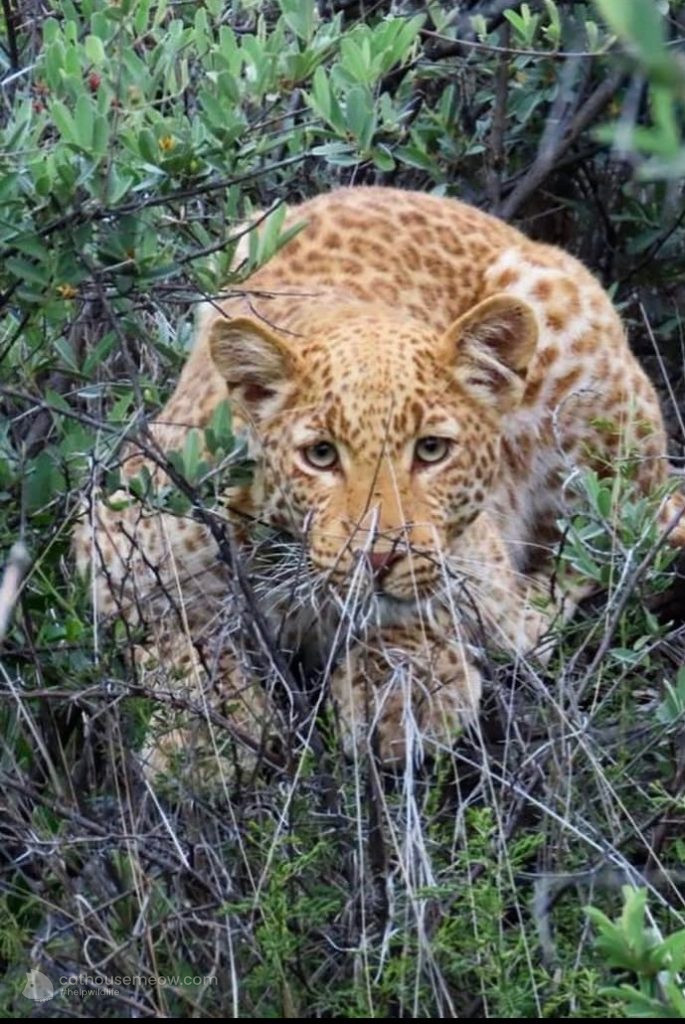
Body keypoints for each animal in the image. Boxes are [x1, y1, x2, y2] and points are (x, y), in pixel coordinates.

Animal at [73, 186, 685, 770]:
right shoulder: (112, 530)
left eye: (431, 450)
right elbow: (178, 625)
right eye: (321, 455)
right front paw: (202, 742)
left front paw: (402, 696)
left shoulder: (468, 561)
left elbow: (432, 607)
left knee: (606, 543)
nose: (378, 557)